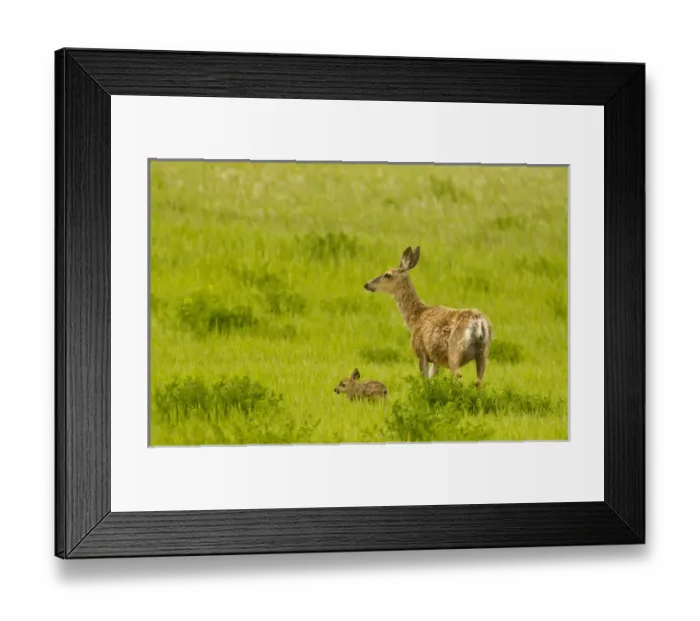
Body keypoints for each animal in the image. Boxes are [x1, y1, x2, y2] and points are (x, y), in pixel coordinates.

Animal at [364, 246, 493, 388]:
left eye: (387, 274)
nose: (367, 284)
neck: (415, 318)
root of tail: (479, 322)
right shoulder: (436, 358)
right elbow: (432, 378)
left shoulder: (421, 352)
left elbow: (425, 380)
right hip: (484, 353)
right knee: (479, 381)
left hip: (455, 350)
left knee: (458, 375)